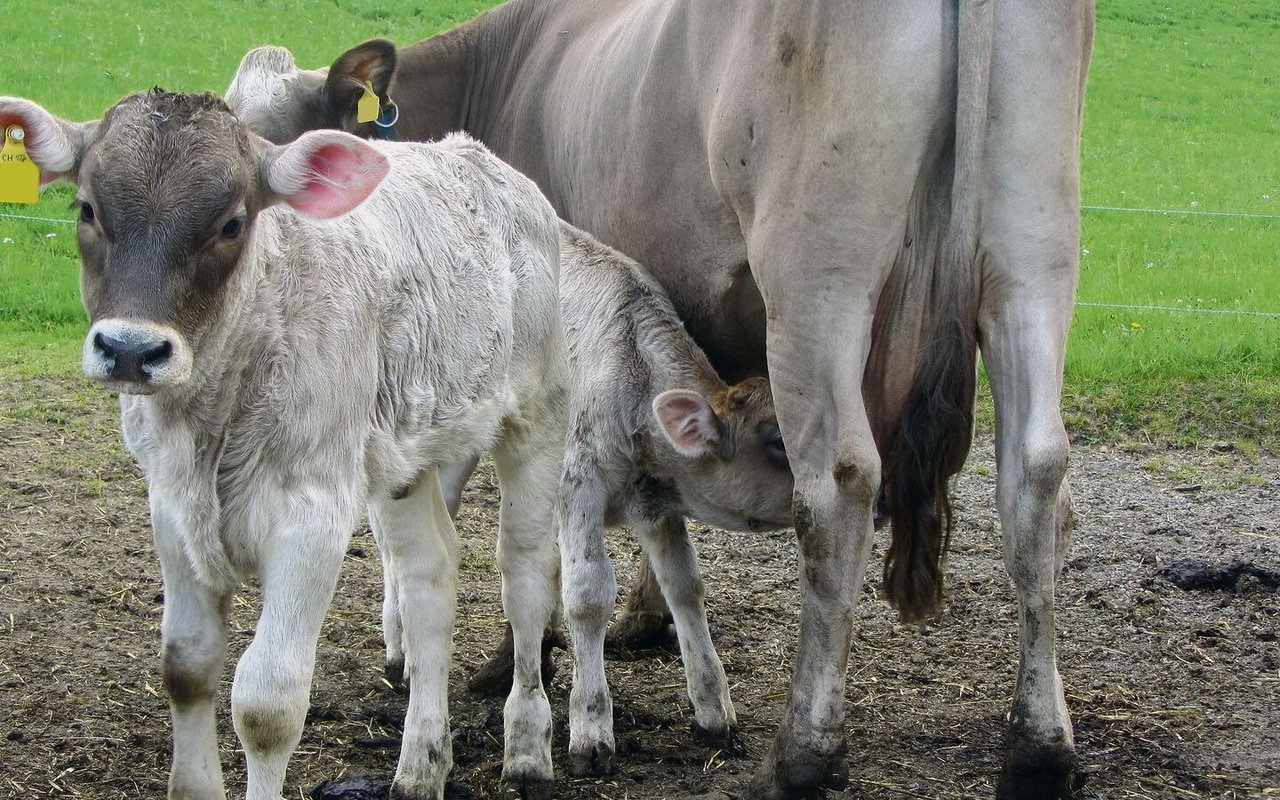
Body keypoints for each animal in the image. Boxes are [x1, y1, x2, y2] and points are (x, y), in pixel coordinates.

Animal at [227, 3, 1090, 793]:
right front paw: (644, 626)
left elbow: (544, 559)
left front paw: (528, 668)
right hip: (1033, 254)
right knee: (1037, 474)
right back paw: (1040, 744)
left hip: (821, 279)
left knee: (840, 484)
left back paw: (804, 751)